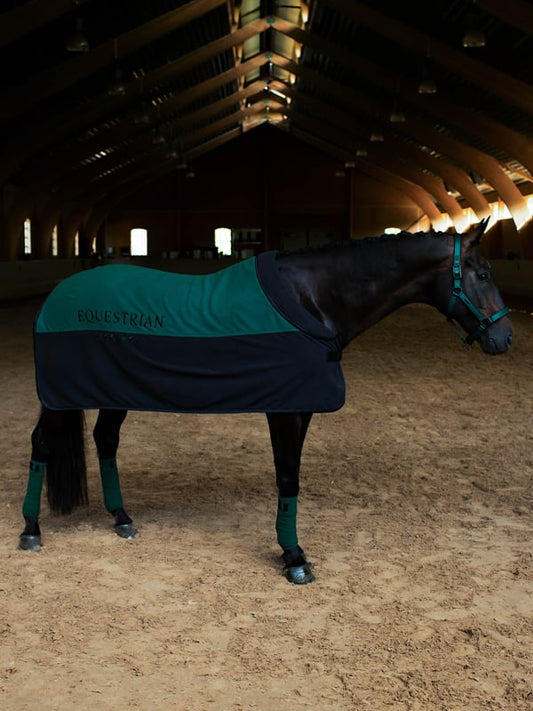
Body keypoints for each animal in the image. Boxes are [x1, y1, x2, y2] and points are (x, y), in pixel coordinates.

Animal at [18, 219, 513, 584]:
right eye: (483, 274)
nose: (505, 339)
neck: (313, 298)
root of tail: (58, 295)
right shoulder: (286, 408)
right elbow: (288, 477)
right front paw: (294, 557)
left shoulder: (300, 407)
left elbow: (291, 475)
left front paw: (291, 551)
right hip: (60, 399)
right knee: (42, 444)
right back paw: (31, 530)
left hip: (111, 392)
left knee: (105, 439)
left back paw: (121, 518)